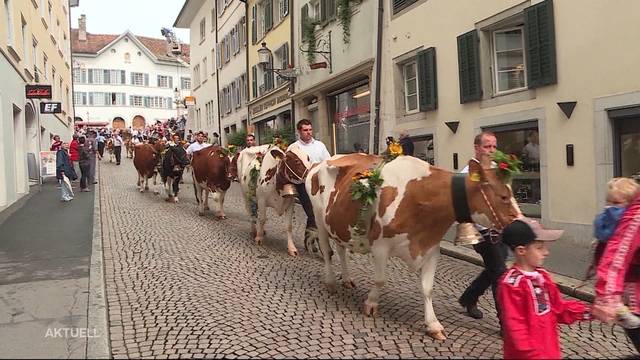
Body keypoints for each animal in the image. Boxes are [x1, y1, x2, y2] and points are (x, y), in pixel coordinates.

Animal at [302, 152, 524, 340]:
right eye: (504, 196)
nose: (522, 226)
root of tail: (321, 162)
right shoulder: (380, 245)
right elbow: (381, 280)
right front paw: (371, 304)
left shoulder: (431, 248)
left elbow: (427, 288)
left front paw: (433, 325)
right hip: (320, 220)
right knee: (328, 251)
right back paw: (331, 282)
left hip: (338, 225)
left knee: (341, 250)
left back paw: (347, 279)